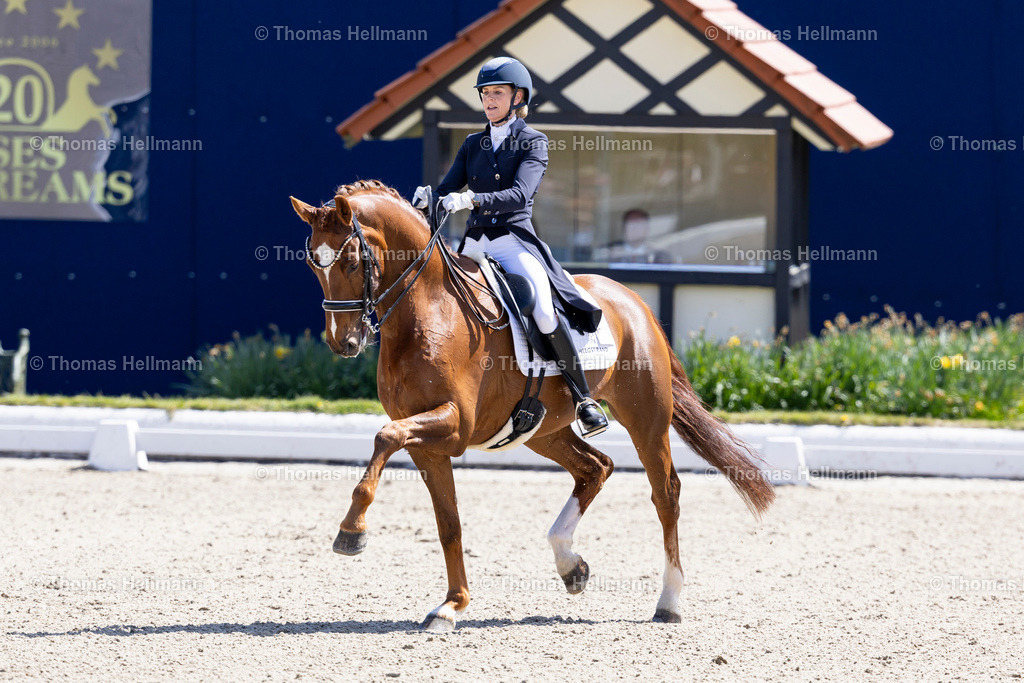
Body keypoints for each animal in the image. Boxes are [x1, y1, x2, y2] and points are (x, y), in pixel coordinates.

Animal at [289, 180, 774, 631]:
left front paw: (351, 532)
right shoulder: (429, 445)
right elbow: (448, 522)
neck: (427, 309)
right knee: (595, 467)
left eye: (353, 261)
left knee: (665, 492)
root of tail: (632, 299)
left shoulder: (453, 425)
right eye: (313, 263)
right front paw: (452, 606)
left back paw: (669, 601)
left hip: (646, 418)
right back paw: (571, 566)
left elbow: (384, 437)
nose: (343, 343)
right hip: (543, 429)